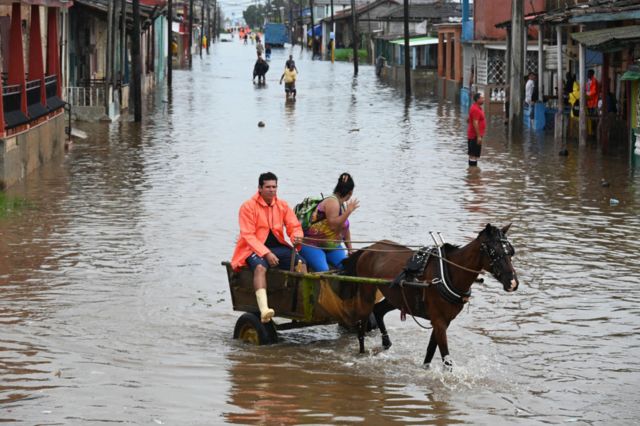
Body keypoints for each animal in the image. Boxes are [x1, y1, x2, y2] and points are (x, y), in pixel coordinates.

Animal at [342, 223, 516, 370]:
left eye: (510, 252)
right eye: (494, 252)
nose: (513, 282)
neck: (448, 273)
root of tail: (370, 248)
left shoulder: (443, 321)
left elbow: (430, 351)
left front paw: (425, 368)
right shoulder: (439, 322)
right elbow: (446, 359)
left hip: (397, 297)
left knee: (378, 310)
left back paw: (386, 342)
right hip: (366, 293)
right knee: (362, 324)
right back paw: (362, 352)